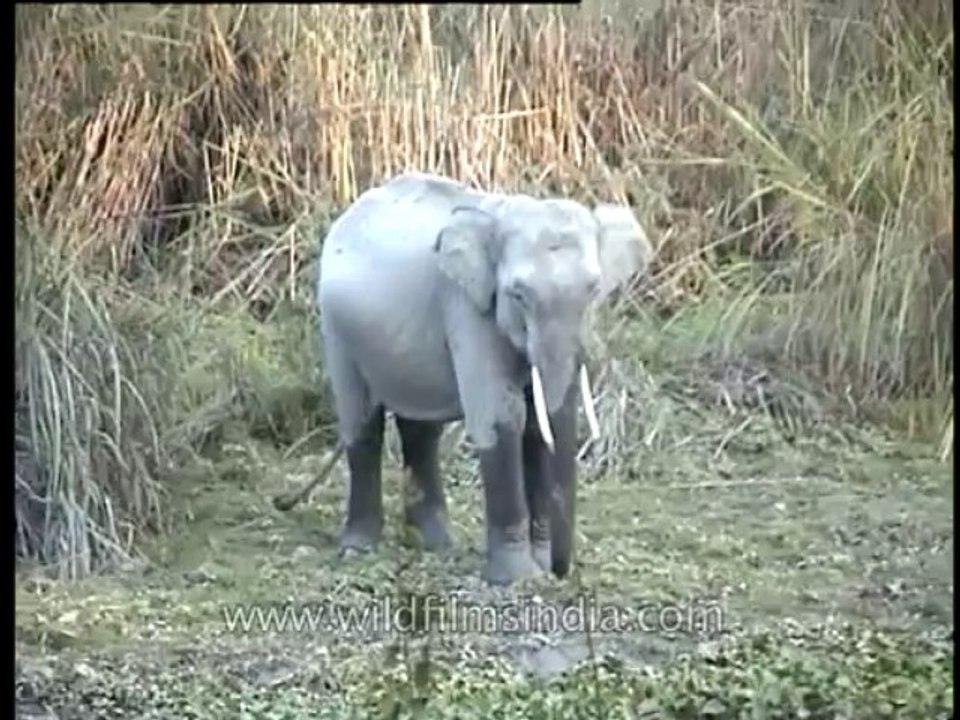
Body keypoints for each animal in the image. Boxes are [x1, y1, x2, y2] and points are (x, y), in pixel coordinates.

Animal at [316, 171, 652, 586]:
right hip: (335, 327)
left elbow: (536, 428)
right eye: (518, 295)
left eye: (593, 291)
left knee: (421, 430)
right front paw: (516, 579)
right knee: (361, 422)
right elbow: (502, 417)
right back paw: (358, 549)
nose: (560, 572)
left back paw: (435, 544)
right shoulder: (466, 305)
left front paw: (537, 568)